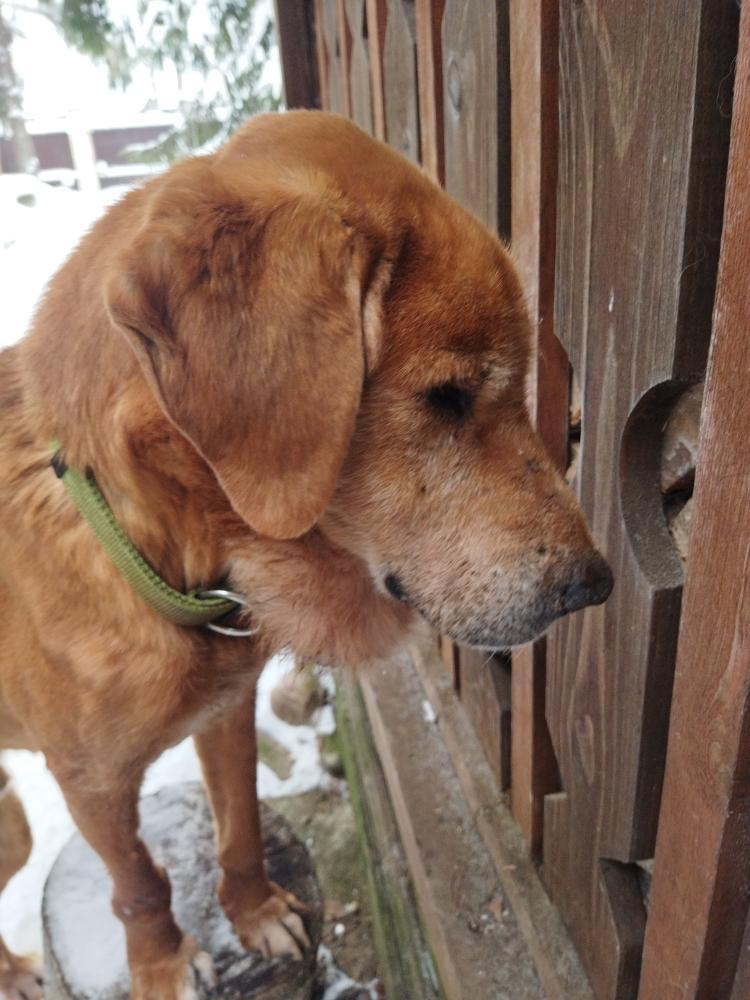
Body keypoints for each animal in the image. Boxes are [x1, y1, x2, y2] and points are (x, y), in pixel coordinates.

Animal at [0, 110, 612, 999]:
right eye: (447, 397)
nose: (596, 585)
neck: (163, 555)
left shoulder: (226, 712)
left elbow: (242, 825)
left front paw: (254, 911)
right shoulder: (88, 780)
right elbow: (139, 880)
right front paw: (160, 966)